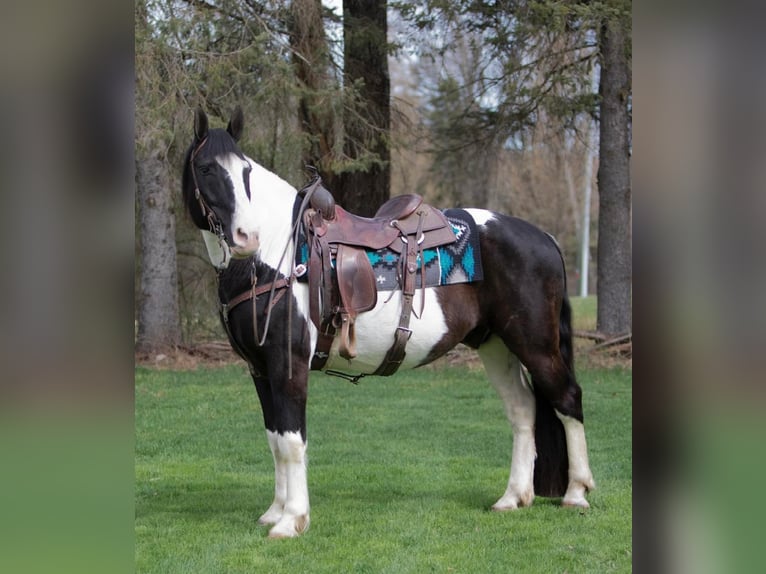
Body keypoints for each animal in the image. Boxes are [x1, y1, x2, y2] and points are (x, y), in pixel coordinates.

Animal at [183, 107, 596, 540]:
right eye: (206, 168)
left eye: (245, 171)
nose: (245, 236)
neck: (276, 253)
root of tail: (543, 237)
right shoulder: (261, 369)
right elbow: (275, 438)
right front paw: (274, 512)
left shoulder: (288, 364)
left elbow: (292, 442)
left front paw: (292, 519)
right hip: (497, 345)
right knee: (523, 411)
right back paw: (513, 497)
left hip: (536, 344)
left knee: (568, 400)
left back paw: (576, 493)